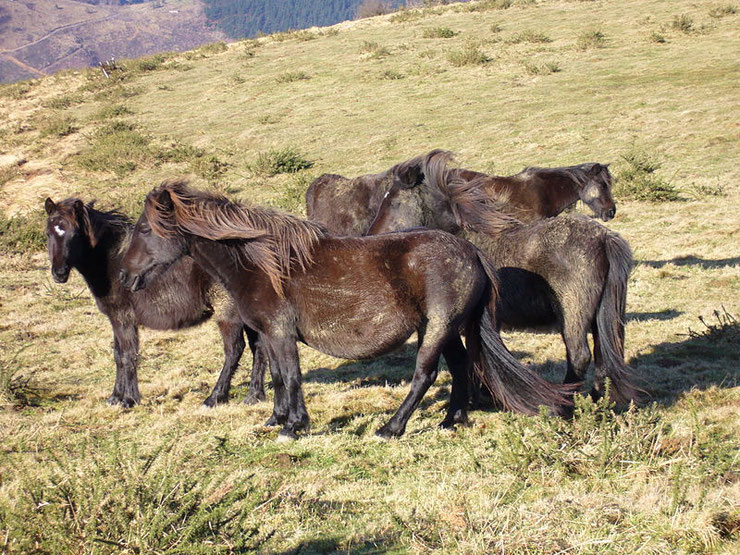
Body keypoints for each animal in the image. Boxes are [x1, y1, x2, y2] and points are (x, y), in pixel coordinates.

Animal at [121, 182, 576, 438]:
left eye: (144, 228)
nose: (124, 277)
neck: (261, 263)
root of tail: (471, 251)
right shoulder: (268, 335)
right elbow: (278, 378)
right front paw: (275, 419)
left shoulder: (280, 333)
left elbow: (290, 376)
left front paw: (294, 427)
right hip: (444, 327)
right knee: (461, 366)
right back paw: (451, 421)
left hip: (438, 327)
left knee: (424, 374)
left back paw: (391, 428)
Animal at [368, 152, 640, 408]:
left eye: (392, 201)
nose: (371, 236)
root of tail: (604, 238)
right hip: (599, 315)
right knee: (602, 354)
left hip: (573, 316)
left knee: (579, 356)